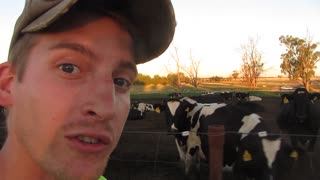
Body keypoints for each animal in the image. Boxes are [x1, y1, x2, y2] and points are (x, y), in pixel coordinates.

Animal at [168, 97, 296, 180]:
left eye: (280, 161)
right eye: (260, 159)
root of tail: (198, 105)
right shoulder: (239, 169)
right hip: (192, 144)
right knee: (188, 161)